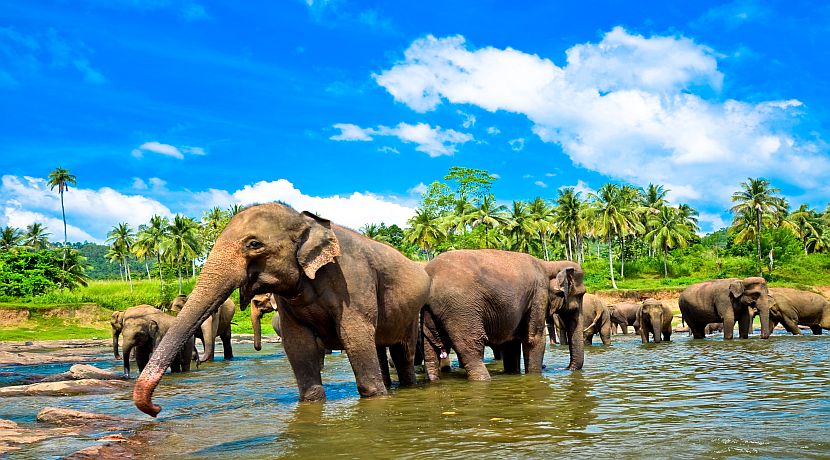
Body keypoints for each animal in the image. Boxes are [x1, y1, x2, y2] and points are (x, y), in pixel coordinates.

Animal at [134, 203, 431, 417]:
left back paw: (406, 386)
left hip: (411, 312)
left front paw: (375, 398)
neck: (307, 221)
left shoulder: (354, 281)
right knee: (380, 348)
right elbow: (298, 344)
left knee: (402, 352)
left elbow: (355, 336)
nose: (156, 409)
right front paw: (312, 403)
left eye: (254, 244)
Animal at [422, 249, 585, 382]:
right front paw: (534, 376)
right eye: (581, 295)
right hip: (461, 309)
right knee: (471, 347)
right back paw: (484, 379)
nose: (563, 369)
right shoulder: (538, 294)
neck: (548, 264)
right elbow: (533, 339)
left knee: (430, 349)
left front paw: (513, 373)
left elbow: (511, 342)